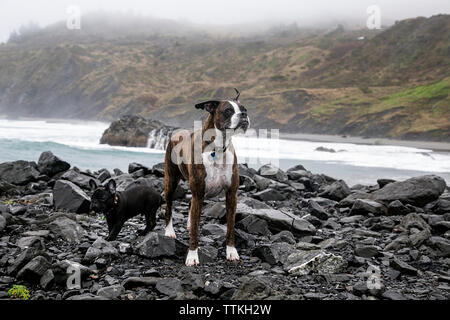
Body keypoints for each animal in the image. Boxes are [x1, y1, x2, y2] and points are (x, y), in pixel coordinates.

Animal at [164, 89, 250, 266]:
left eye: (244, 109)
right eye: (228, 110)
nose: (244, 114)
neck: (218, 148)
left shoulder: (231, 195)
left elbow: (230, 227)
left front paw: (231, 252)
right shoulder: (199, 193)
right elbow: (195, 231)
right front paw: (192, 256)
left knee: (190, 204)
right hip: (171, 182)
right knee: (169, 206)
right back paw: (169, 231)